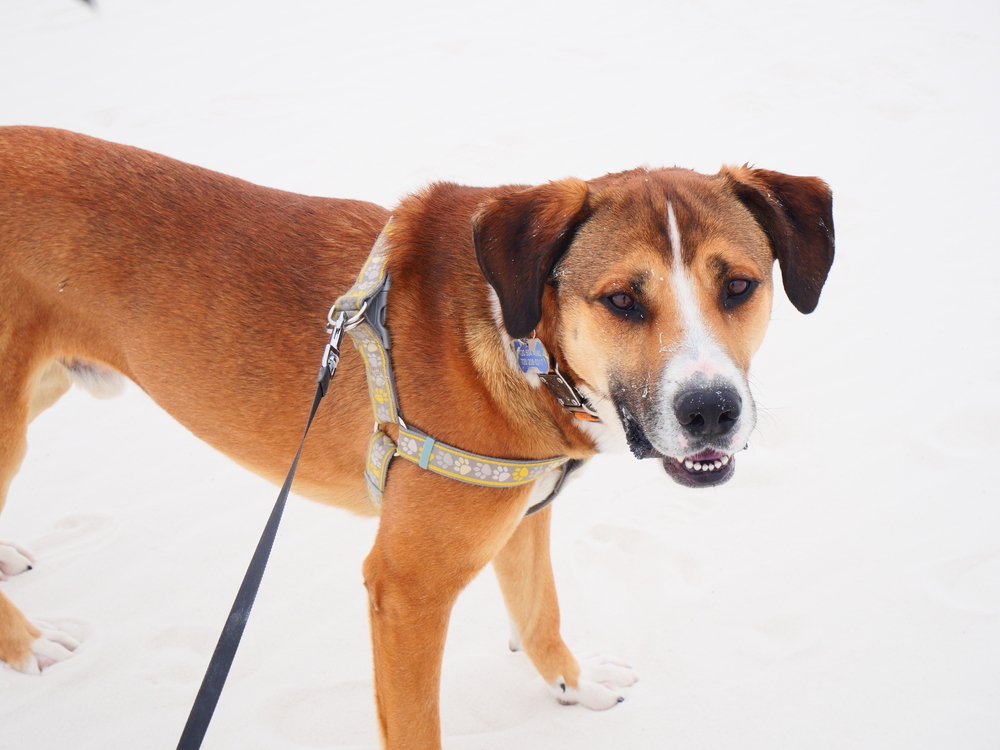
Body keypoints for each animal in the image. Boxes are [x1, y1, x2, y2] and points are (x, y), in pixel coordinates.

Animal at [0, 126, 832, 748]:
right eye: (623, 300)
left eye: (738, 286)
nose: (710, 410)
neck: (519, 339)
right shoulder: (407, 590)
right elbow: (416, 723)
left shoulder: (521, 515)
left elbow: (540, 611)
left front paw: (573, 684)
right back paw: (27, 643)